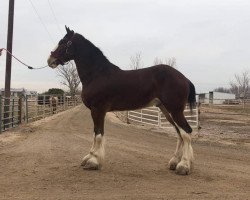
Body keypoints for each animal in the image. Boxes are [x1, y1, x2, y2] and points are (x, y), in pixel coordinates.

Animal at [46, 26, 195, 175]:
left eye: (63, 42)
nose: (50, 60)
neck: (97, 74)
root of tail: (184, 78)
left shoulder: (98, 109)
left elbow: (98, 134)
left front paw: (93, 161)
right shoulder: (97, 111)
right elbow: (95, 133)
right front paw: (89, 157)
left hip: (175, 110)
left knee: (186, 133)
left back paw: (183, 166)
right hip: (166, 110)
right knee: (179, 134)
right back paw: (174, 162)